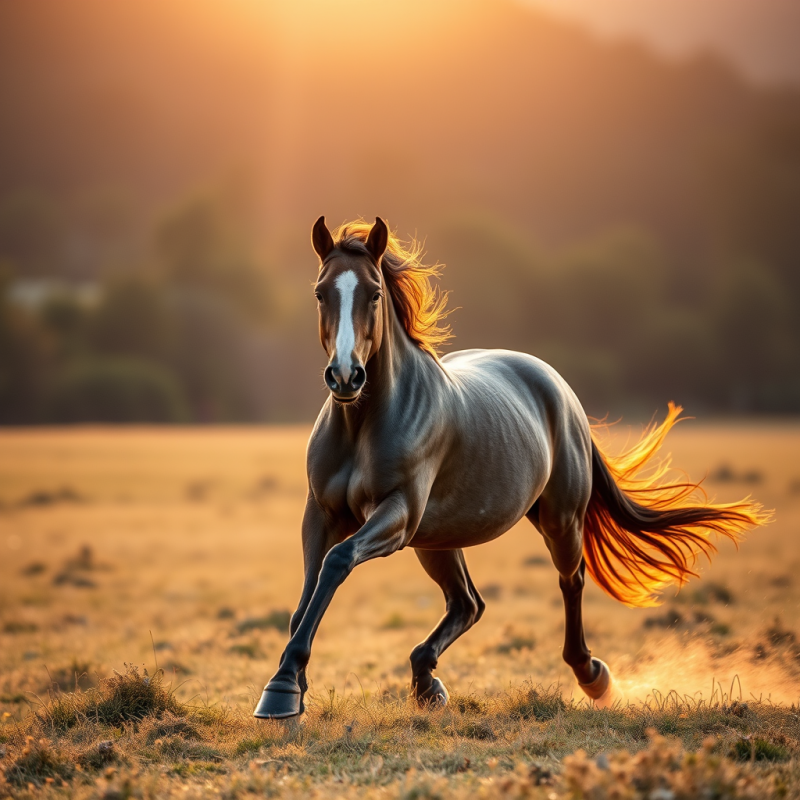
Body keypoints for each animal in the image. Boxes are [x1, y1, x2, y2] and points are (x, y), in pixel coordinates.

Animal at [253, 216, 767, 719]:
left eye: (375, 293)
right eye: (321, 292)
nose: (345, 376)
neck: (363, 422)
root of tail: (558, 387)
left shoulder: (397, 513)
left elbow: (336, 563)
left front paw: (282, 687)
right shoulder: (321, 514)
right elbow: (307, 592)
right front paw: (291, 683)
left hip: (557, 519)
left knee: (569, 581)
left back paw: (592, 676)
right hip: (438, 539)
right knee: (468, 604)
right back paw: (427, 684)